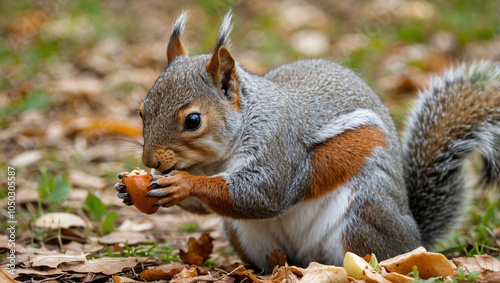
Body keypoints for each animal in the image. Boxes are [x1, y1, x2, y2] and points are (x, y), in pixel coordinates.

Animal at [115, 11, 500, 272]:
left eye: (193, 121)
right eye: (142, 111)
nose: (151, 163)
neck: (216, 159)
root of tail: (415, 238)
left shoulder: (279, 148)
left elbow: (262, 194)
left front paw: (183, 184)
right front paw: (128, 189)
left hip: (364, 216)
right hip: (244, 236)